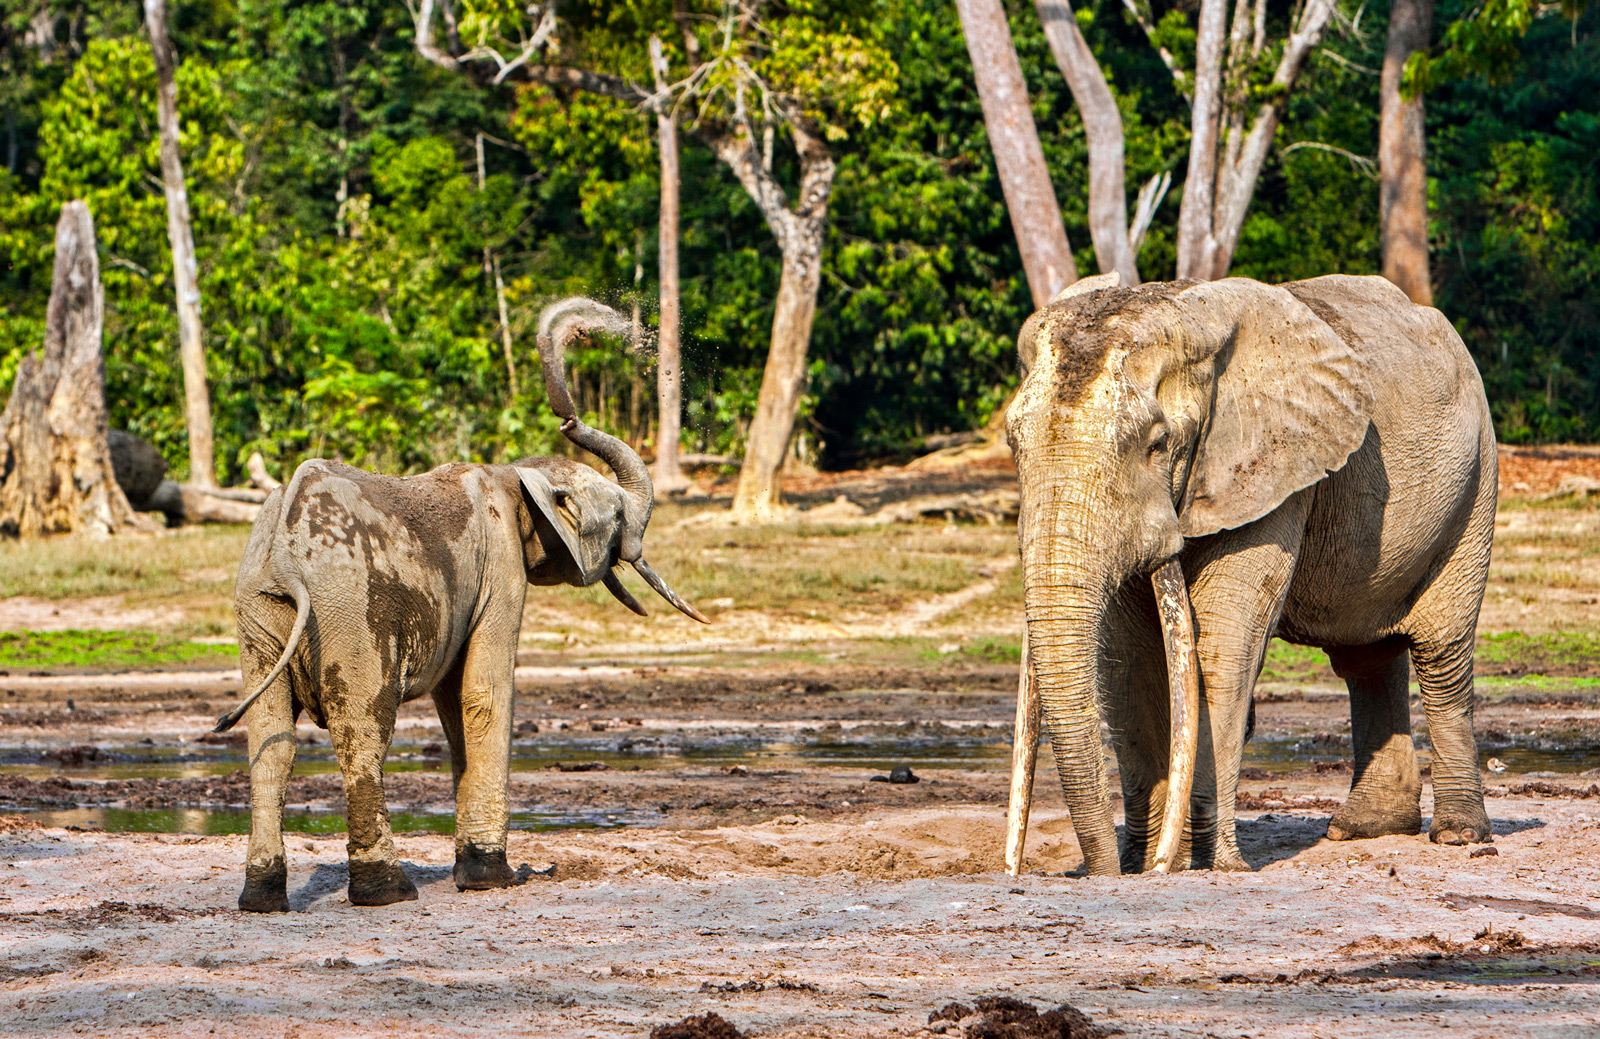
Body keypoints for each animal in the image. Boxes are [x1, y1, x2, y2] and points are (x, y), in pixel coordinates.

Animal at [219, 297, 707, 909]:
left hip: (260, 610)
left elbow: (455, 705)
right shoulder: (502, 564)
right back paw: (388, 893)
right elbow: (485, 692)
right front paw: (494, 877)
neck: (519, 474)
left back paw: (261, 899)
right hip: (349, 607)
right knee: (362, 726)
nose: (609, 327)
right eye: (620, 515)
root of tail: (285, 553)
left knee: (270, 739)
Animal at [1004, 268, 1491, 877]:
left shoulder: (1273, 468)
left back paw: (1457, 836)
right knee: (1367, 658)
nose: (1097, 872)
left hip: (1476, 478)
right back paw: (1363, 829)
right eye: (1012, 443)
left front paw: (1205, 865)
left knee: (1442, 654)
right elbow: (1130, 657)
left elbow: (1222, 641)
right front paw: (1146, 862)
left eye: (1156, 445)